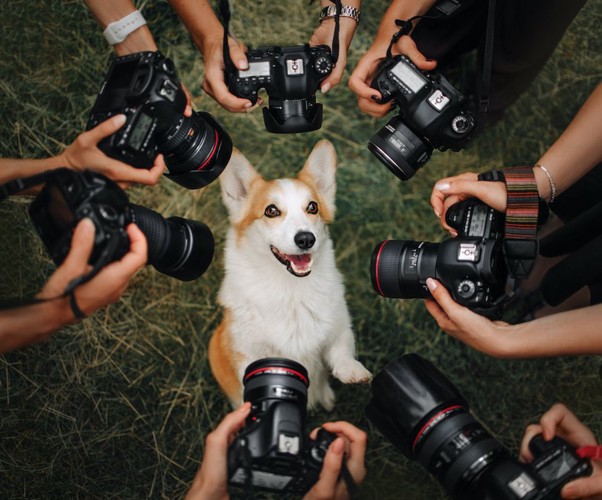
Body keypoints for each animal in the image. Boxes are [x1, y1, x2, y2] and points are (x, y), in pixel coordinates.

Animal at [210, 140, 370, 410]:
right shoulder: (248, 352)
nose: (306, 239)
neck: (290, 288)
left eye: (312, 207)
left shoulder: (338, 328)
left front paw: (353, 371)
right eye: (271, 211)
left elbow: (341, 349)